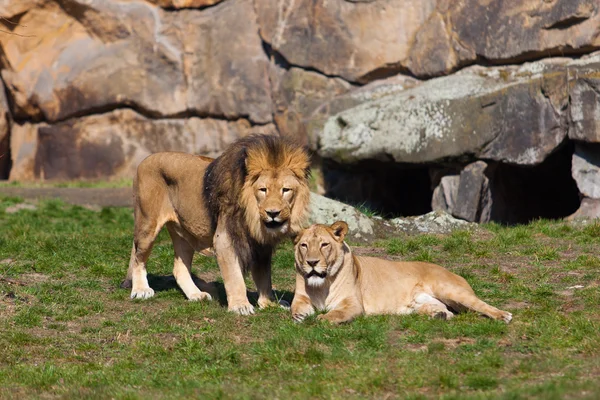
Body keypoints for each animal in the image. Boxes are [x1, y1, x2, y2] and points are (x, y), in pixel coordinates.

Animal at [122, 135, 310, 316]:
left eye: (285, 190)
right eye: (263, 190)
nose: (273, 213)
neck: (254, 219)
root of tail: (146, 159)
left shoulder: (261, 246)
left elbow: (264, 278)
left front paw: (269, 303)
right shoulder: (224, 239)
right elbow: (235, 277)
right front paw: (240, 306)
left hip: (184, 233)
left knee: (178, 267)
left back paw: (196, 295)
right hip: (147, 224)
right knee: (138, 257)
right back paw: (141, 290)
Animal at [290, 222, 510, 324]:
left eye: (324, 245)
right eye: (304, 245)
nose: (311, 262)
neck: (322, 285)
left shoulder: (353, 304)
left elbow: (337, 312)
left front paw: (323, 319)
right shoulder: (300, 298)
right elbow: (295, 308)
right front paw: (300, 317)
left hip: (450, 290)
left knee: (480, 304)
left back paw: (503, 315)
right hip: (418, 304)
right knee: (446, 311)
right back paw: (438, 315)